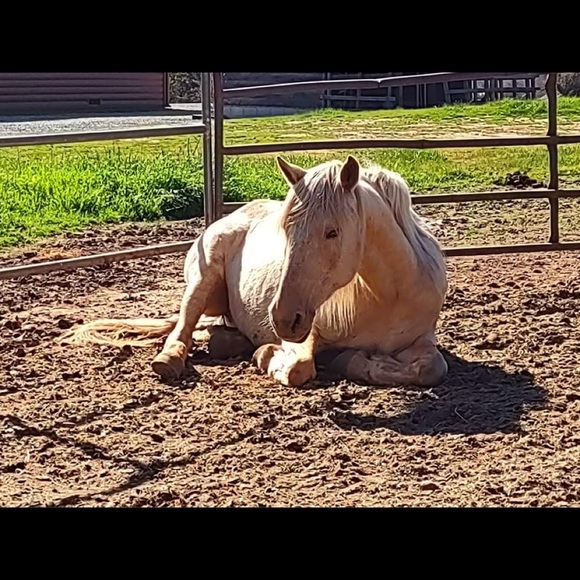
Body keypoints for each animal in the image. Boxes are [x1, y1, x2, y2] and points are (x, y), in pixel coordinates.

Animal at [61, 155, 449, 388]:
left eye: (332, 232)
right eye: (286, 229)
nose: (282, 319)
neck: (385, 296)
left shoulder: (422, 340)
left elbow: (431, 369)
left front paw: (356, 360)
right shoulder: (305, 336)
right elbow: (298, 369)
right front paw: (267, 356)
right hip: (202, 283)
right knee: (182, 329)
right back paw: (172, 359)